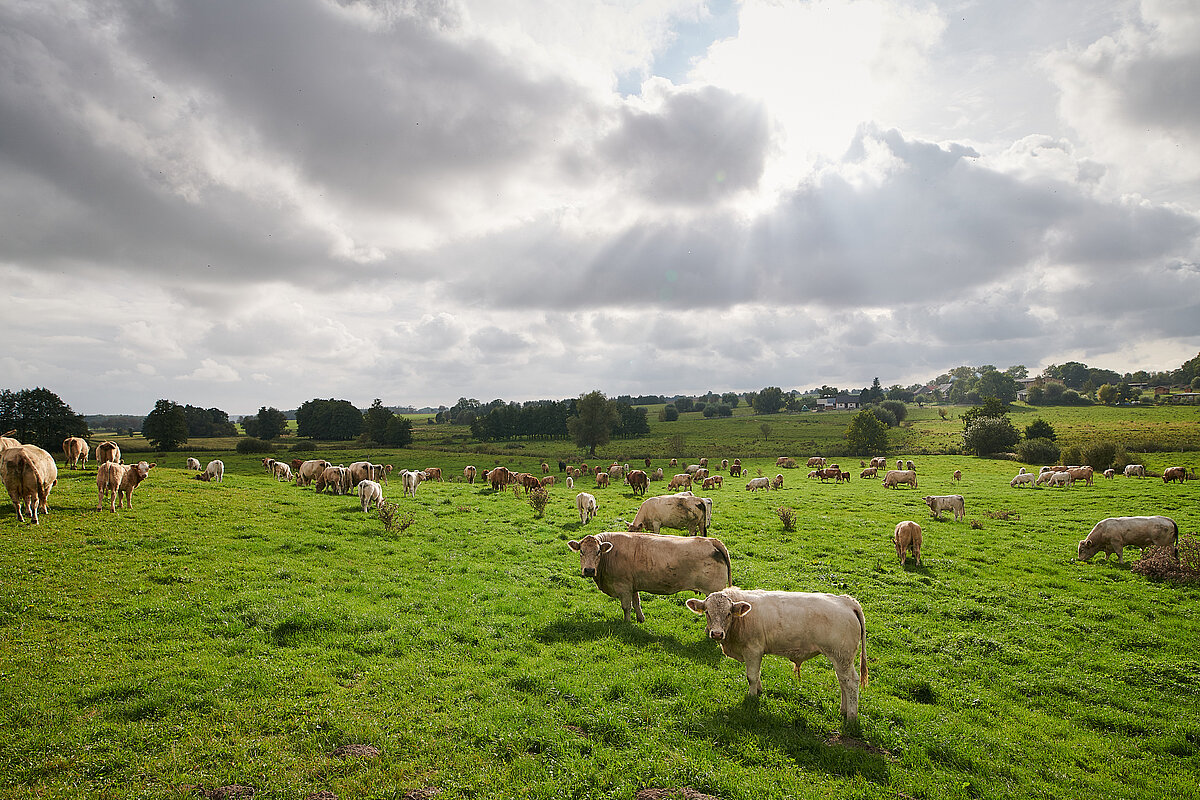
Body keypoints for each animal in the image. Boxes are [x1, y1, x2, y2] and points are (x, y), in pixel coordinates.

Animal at [568, 532, 729, 623]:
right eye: (581, 551)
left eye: (598, 552)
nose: (589, 570)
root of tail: (710, 540)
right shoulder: (632, 586)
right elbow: (636, 603)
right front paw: (640, 619)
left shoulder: (623, 586)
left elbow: (626, 607)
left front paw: (626, 623)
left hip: (714, 591)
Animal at [686, 585, 873, 724]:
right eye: (708, 612)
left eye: (728, 613)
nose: (717, 634)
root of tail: (846, 601)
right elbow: (757, 675)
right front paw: (759, 690)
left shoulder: (753, 650)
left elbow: (751, 676)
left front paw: (751, 697)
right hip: (840, 658)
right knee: (843, 681)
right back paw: (843, 710)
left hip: (842, 656)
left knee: (851, 682)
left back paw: (851, 717)